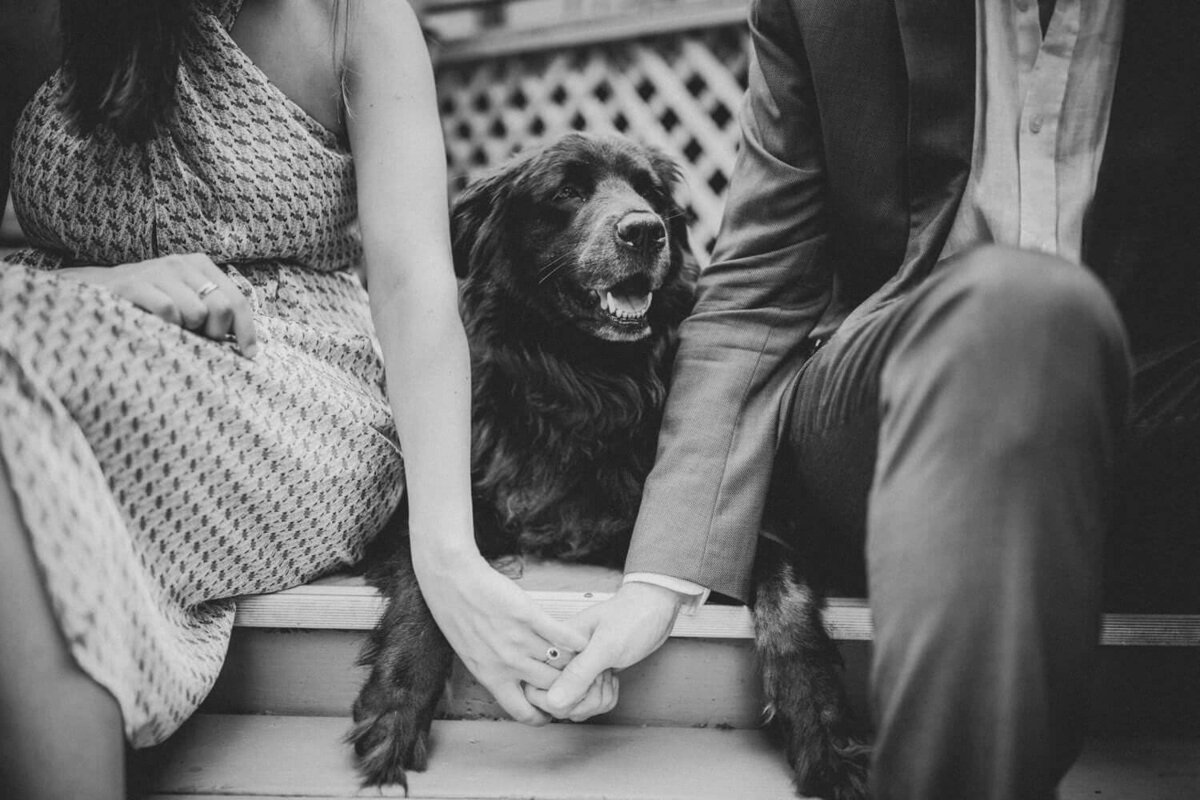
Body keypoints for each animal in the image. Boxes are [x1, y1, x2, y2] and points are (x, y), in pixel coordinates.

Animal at [350, 134, 873, 800]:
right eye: (568, 191)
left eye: (649, 193)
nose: (645, 231)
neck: (584, 384)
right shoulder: (433, 509)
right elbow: (431, 577)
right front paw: (396, 706)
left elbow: (784, 584)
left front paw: (821, 723)